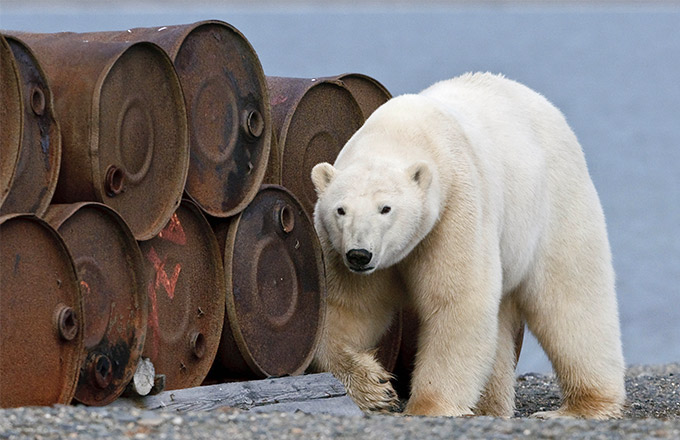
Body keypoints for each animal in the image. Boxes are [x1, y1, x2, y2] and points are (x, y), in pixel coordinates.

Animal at [310, 73, 628, 420]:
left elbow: (457, 302)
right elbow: (348, 309)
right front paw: (373, 386)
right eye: (340, 210)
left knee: (569, 299)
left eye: (386, 208)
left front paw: (428, 407)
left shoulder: (456, 207)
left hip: (555, 203)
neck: (401, 133)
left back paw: (581, 406)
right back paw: (490, 406)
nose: (359, 254)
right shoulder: (338, 250)